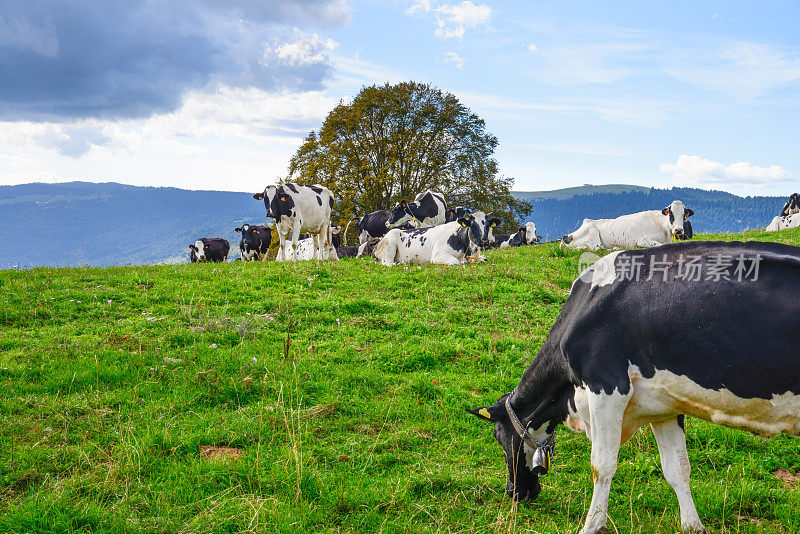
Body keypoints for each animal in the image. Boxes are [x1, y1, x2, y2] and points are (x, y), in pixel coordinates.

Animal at [468, 241, 800, 532]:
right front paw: (693, 526)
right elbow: (677, 468)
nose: (514, 493)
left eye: (500, 438)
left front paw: (592, 525)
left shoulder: (606, 385)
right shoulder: (665, 405)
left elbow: (601, 465)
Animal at [564, 201, 692, 251]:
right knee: (597, 248)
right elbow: (660, 245)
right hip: (592, 231)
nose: (679, 230)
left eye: (684, 215)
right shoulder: (643, 240)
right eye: (671, 214)